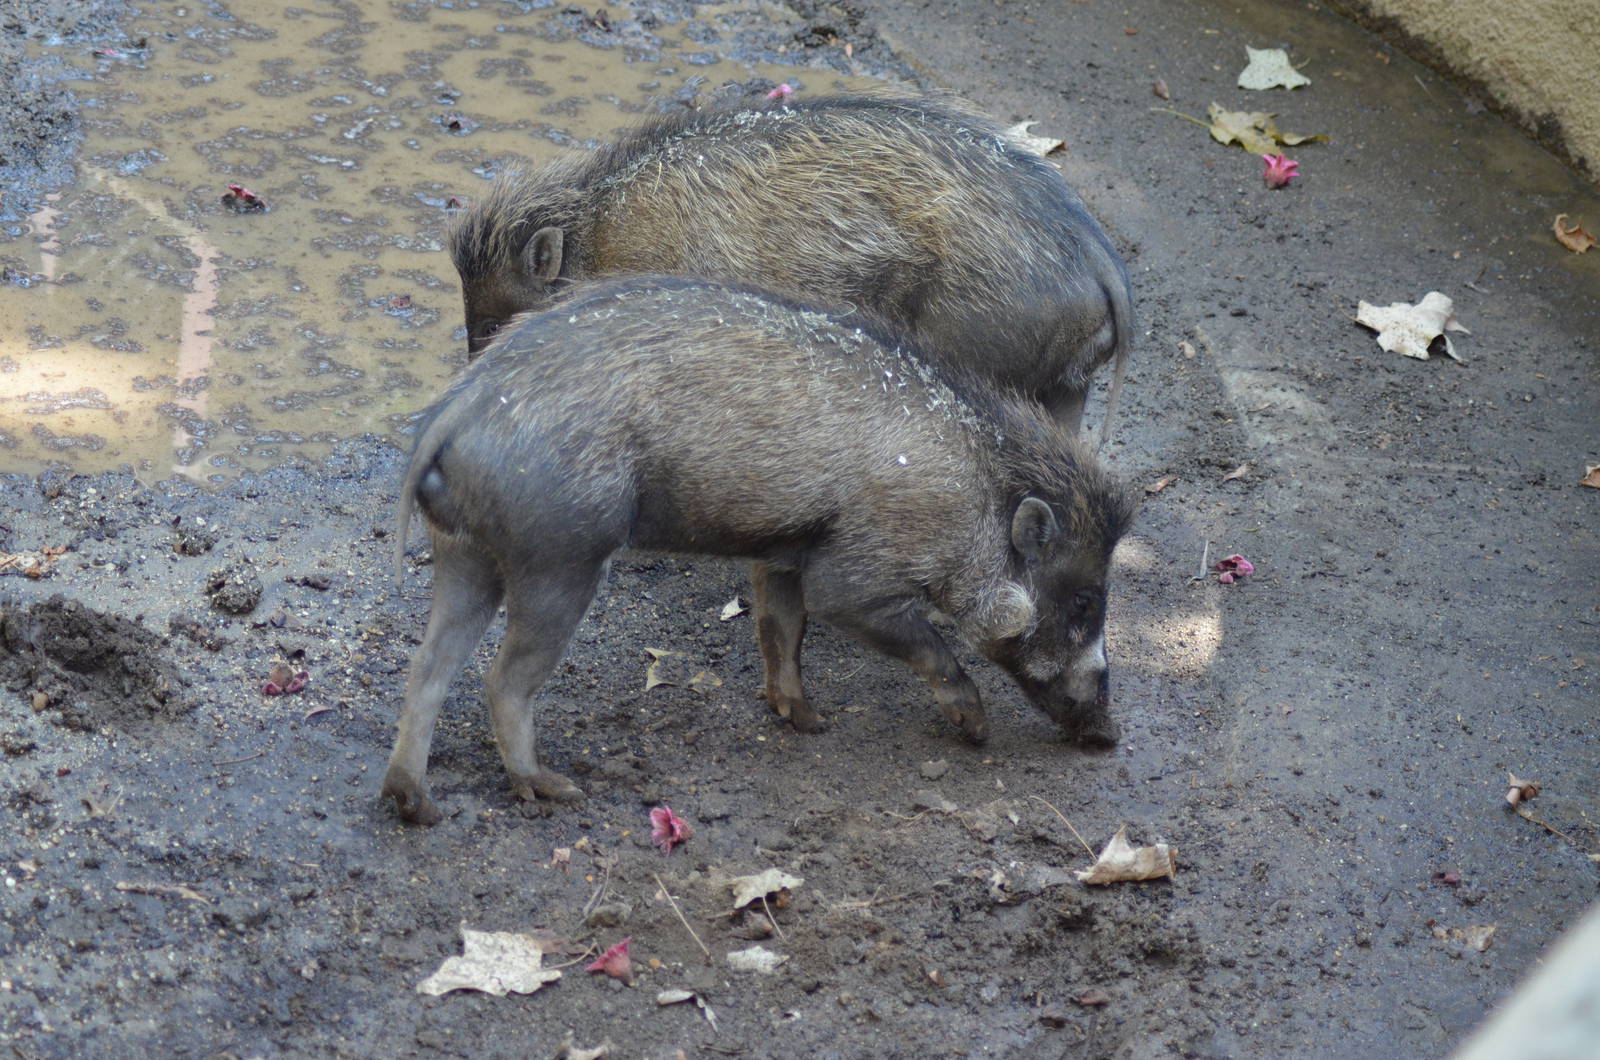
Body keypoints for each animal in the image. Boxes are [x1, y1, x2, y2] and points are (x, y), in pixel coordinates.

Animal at [383, 277, 1138, 824]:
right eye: (1083, 601)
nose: (1109, 738)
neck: (979, 495)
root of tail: (456, 411)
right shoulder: (852, 576)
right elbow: (915, 638)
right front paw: (972, 728)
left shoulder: (784, 551)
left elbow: (780, 628)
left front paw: (806, 721)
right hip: (558, 560)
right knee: (501, 680)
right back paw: (551, 788)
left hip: (467, 555)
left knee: (428, 667)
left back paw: (415, 804)